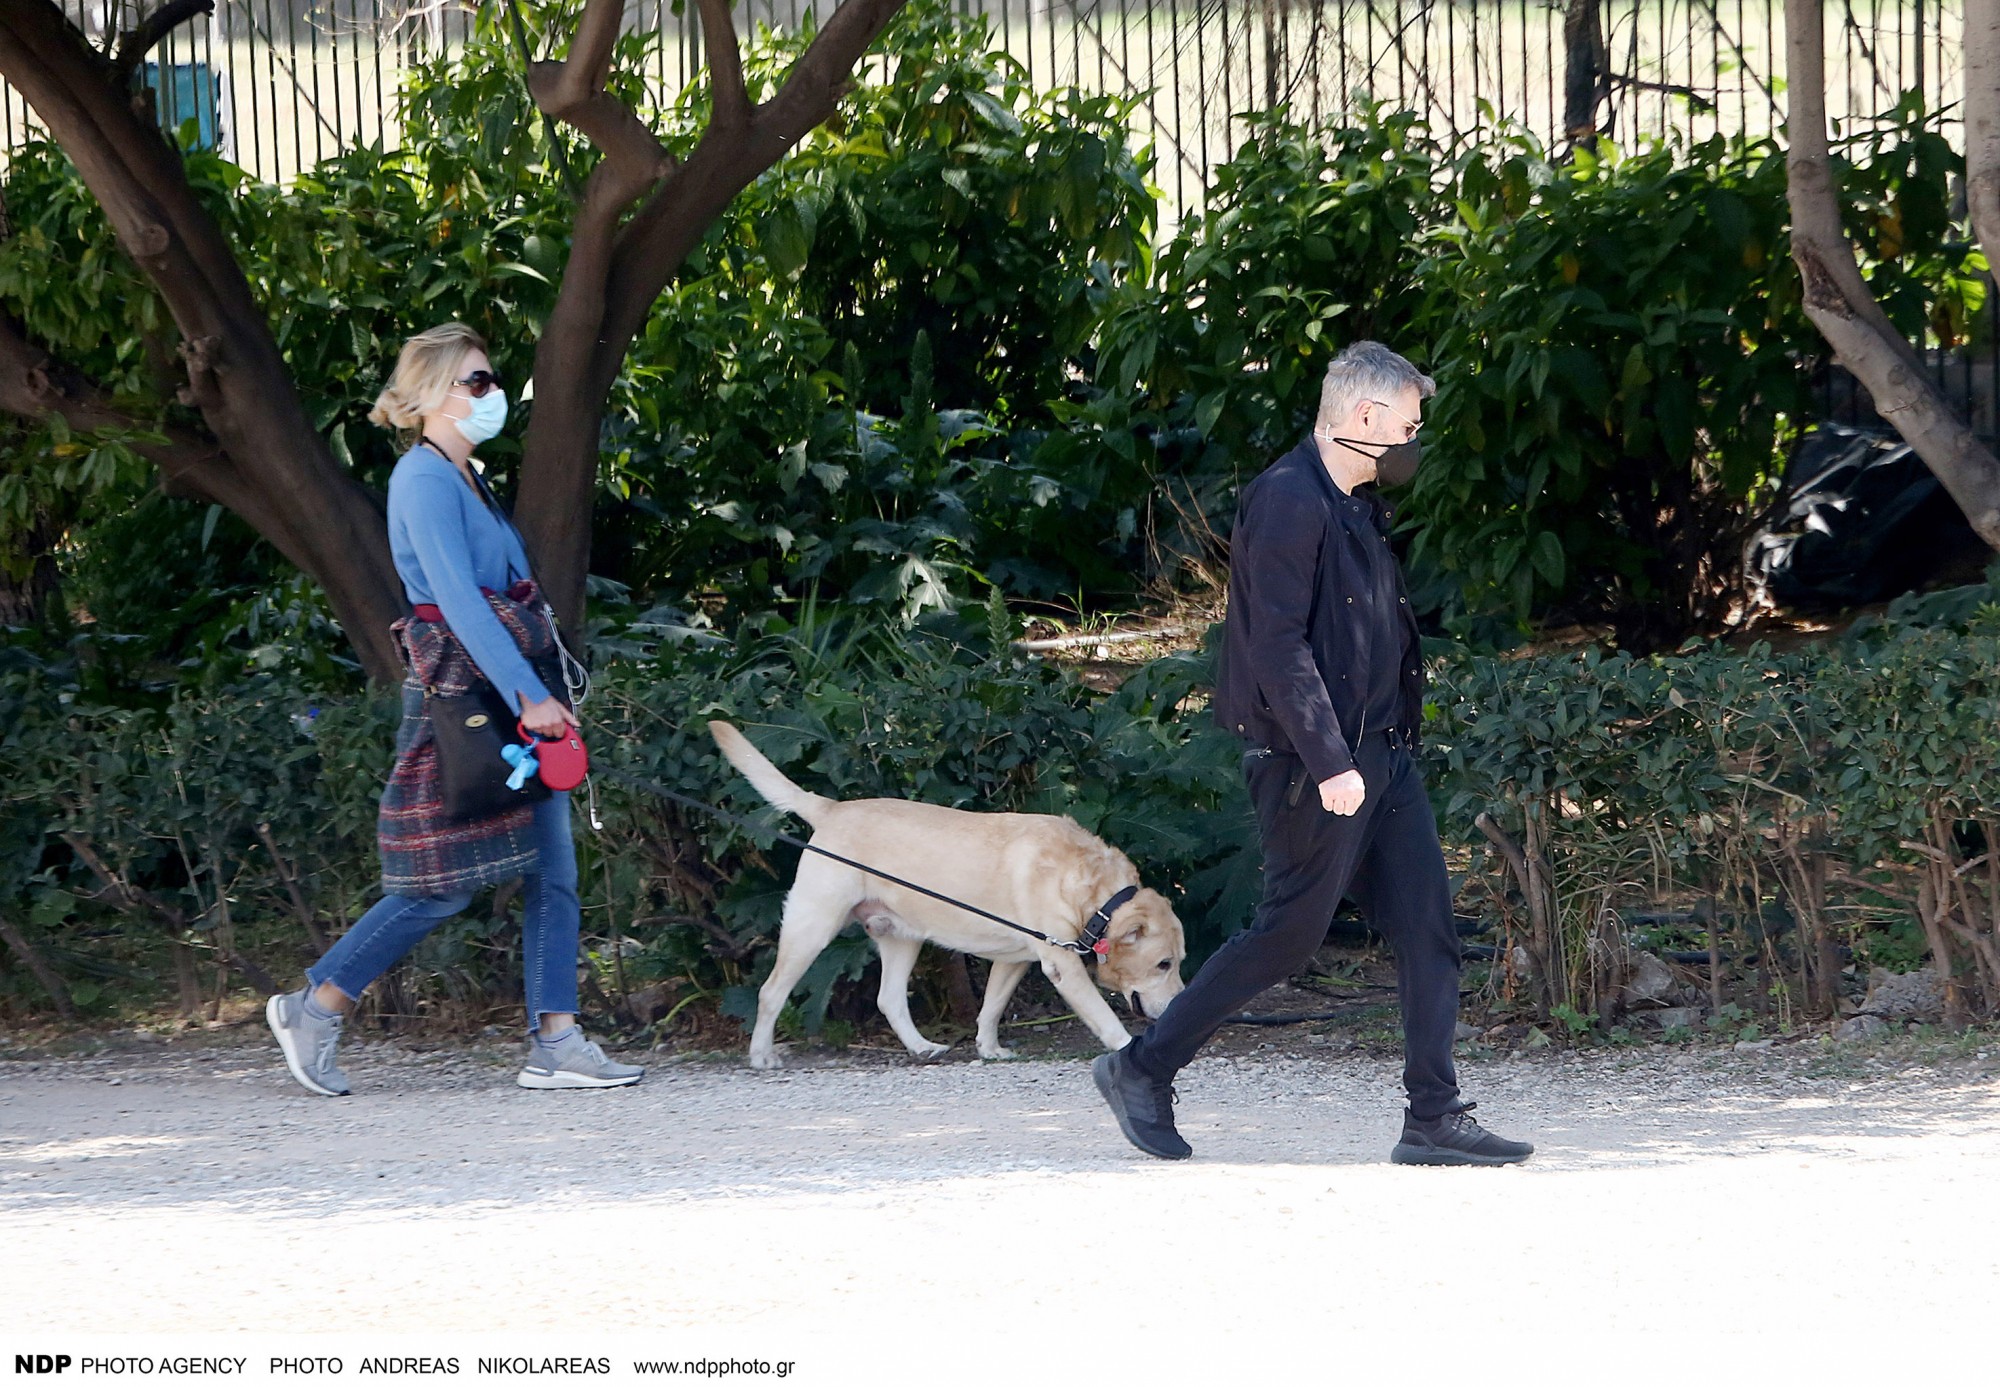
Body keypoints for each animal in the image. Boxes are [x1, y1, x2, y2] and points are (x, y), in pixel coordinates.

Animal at [712, 723, 1184, 1071]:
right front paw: (1127, 1046)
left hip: (902, 936)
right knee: (770, 992)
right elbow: (1103, 1017)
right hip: (813, 929)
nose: (1182, 1003)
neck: (1097, 896)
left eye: (1180, 961)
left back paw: (922, 1046)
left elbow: (991, 1006)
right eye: (1164, 964)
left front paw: (988, 1048)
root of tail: (831, 808)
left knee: (889, 999)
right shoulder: (1062, 964)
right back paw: (762, 1054)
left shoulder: (1014, 959)